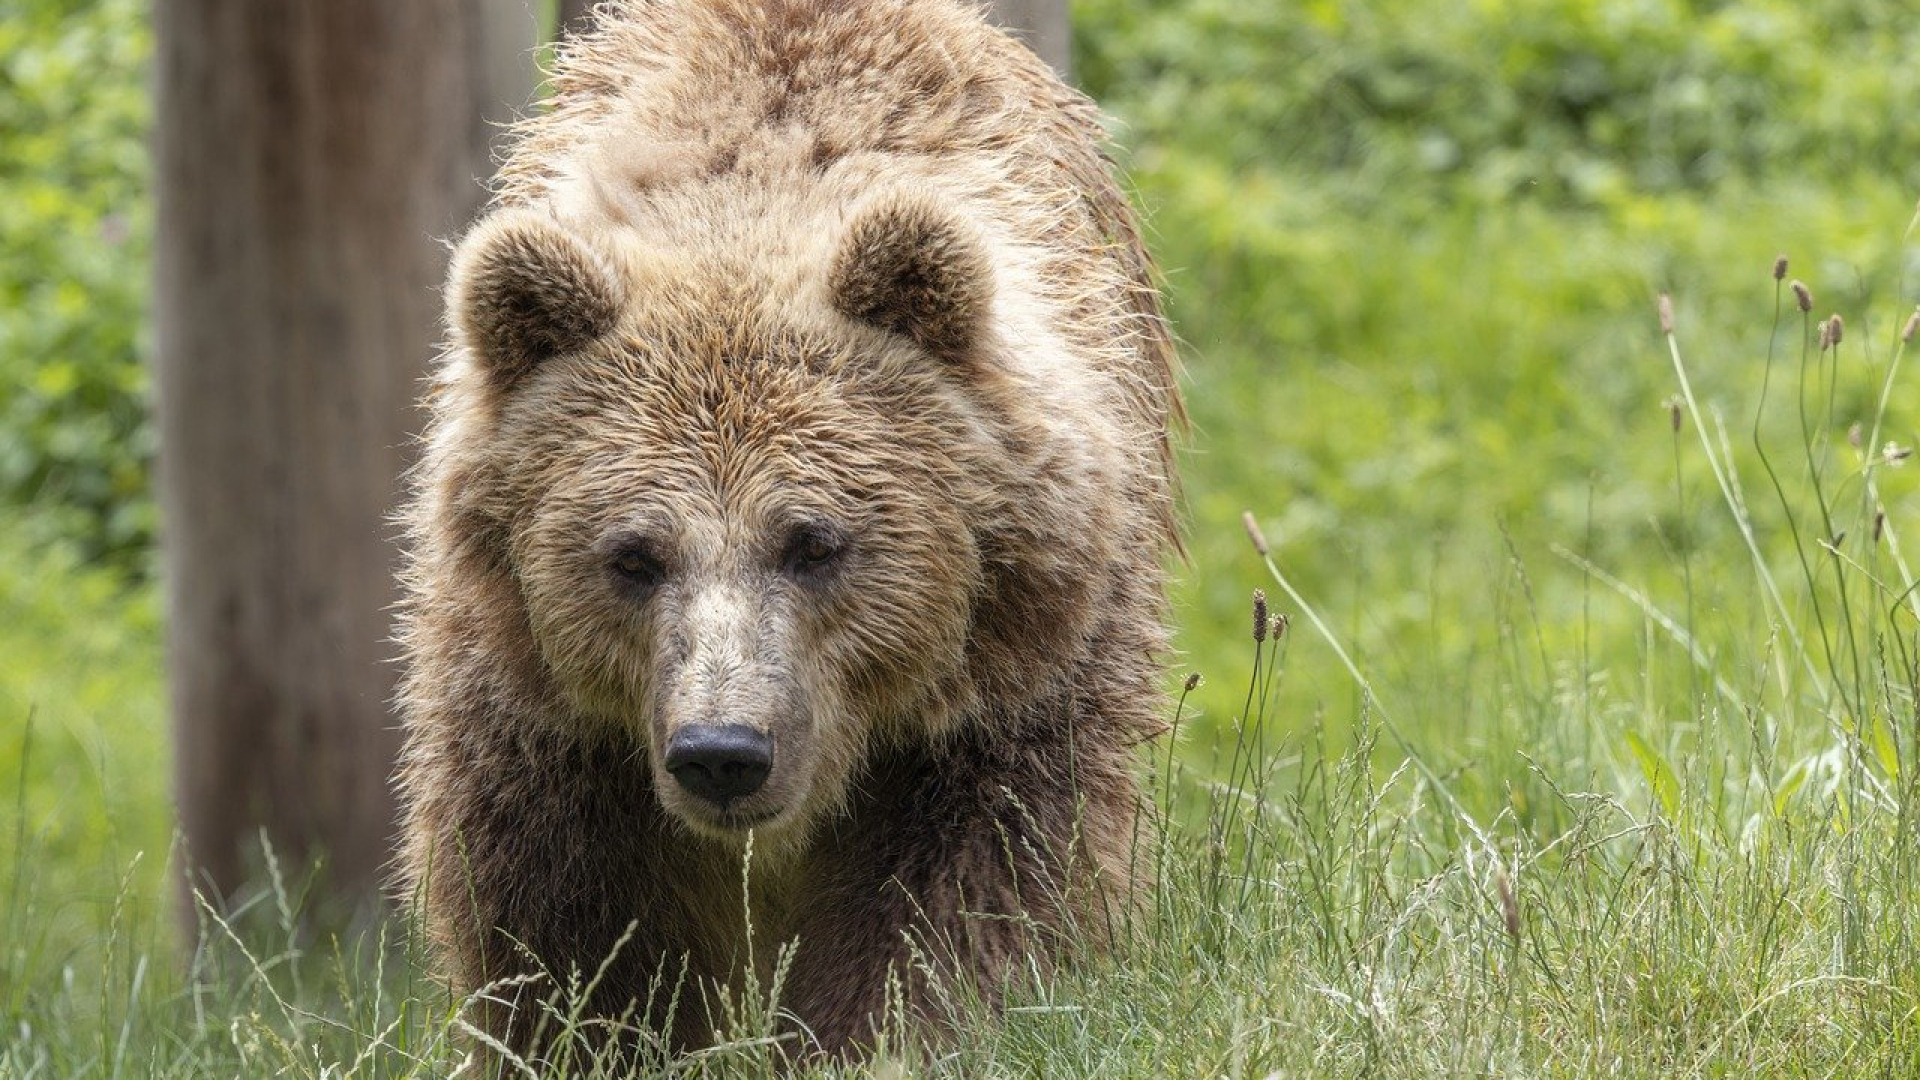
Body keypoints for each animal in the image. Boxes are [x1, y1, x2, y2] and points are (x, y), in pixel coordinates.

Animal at [395, 0, 1175, 1060]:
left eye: (813, 542)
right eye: (634, 556)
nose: (724, 751)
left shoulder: (1002, 689)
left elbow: (964, 896)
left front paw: (888, 1031)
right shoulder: (548, 718)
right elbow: (569, 928)